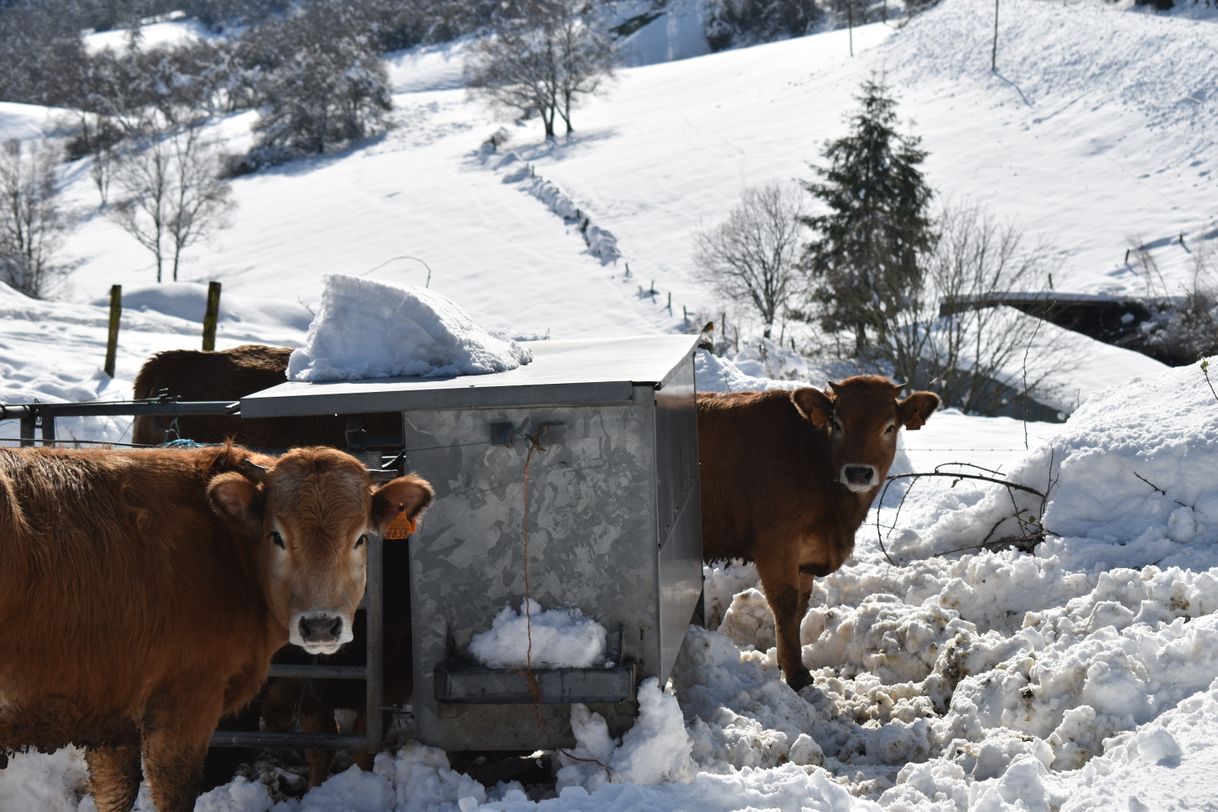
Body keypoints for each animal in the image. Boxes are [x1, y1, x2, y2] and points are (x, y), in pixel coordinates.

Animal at [0, 445, 436, 812]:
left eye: (360, 538)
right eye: (276, 536)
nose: (321, 625)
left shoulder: (109, 714)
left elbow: (115, 793)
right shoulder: (184, 703)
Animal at [696, 377, 940, 691]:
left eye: (889, 427)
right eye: (837, 423)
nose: (858, 473)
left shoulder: (805, 555)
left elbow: (801, 605)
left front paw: (788, 660)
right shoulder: (776, 544)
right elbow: (786, 603)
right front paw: (796, 674)